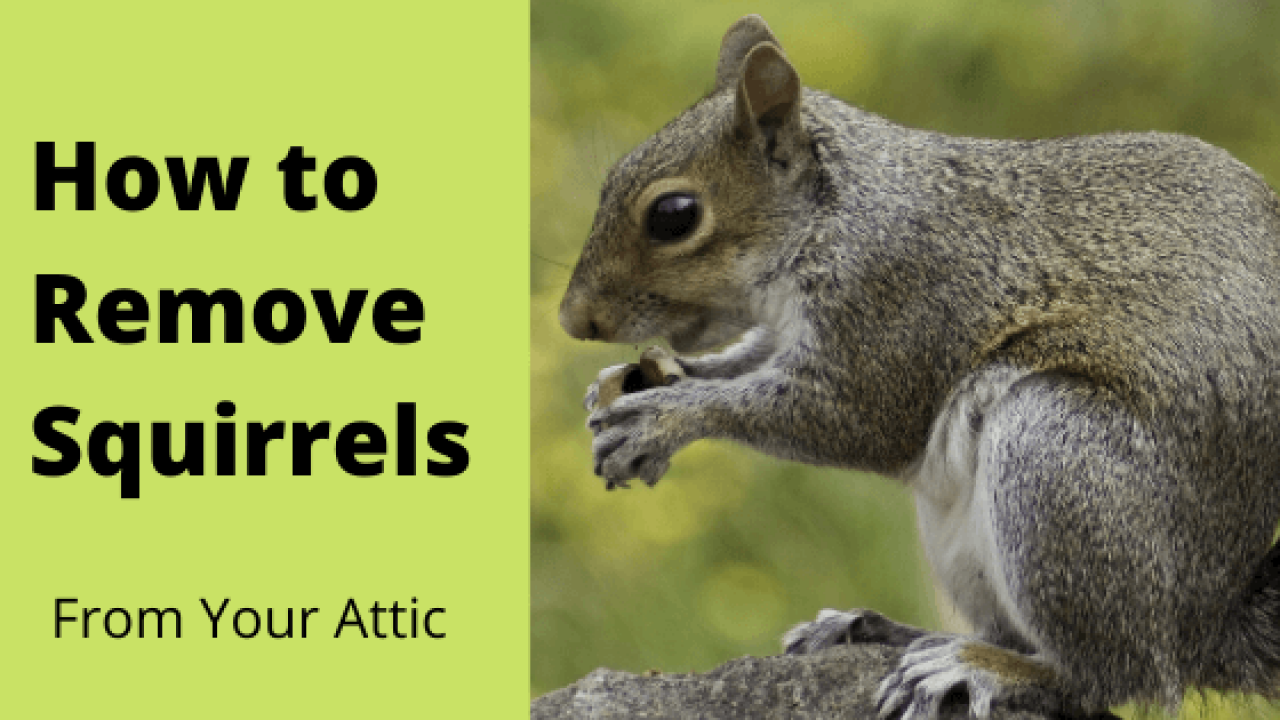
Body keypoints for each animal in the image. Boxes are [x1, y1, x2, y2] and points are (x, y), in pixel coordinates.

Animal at [558, 13, 1280, 720]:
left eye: (674, 216)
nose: (573, 320)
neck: (835, 216)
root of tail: (1205, 629)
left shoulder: (898, 302)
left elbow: (849, 416)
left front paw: (661, 419)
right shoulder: (788, 329)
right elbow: (746, 362)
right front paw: (641, 381)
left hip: (1059, 460)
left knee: (1114, 677)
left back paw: (985, 666)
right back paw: (878, 630)